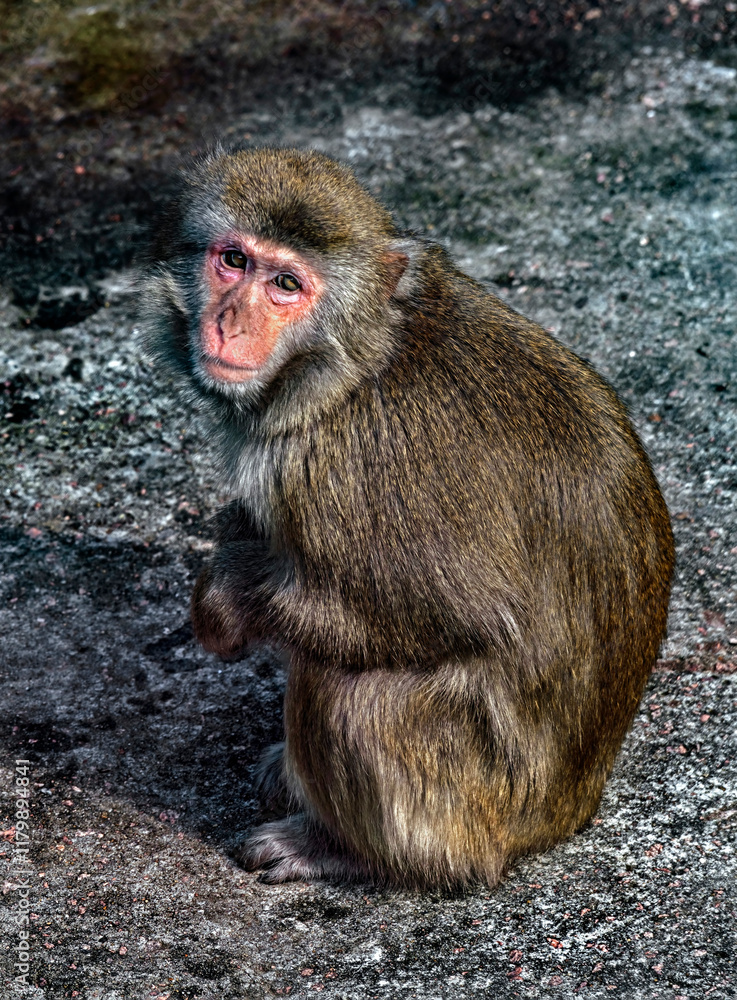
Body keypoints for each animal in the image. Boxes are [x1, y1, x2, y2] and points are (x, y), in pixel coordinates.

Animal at [142, 147, 674, 890]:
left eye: (286, 284)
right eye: (233, 261)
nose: (228, 322)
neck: (357, 362)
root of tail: (565, 817)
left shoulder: (340, 467)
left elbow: (458, 618)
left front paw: (224, 599)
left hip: (465, 802)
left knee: (345, 693)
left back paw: (343, 849)